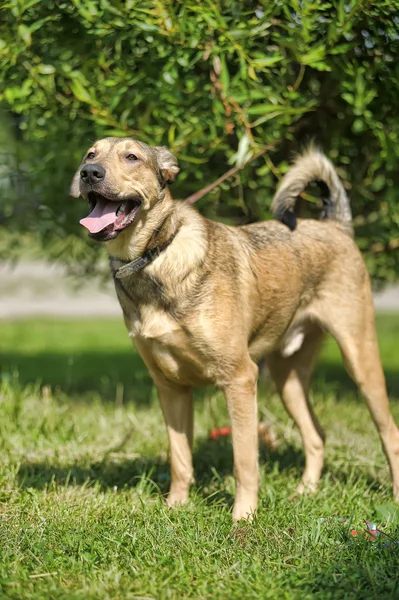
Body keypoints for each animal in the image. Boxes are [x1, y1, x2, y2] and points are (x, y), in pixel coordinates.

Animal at [71, 138, 399, 516]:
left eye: (132, 157)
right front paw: (175, 508)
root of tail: (335, 225)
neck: (155, 255)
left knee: (390, 433)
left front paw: (243, 516)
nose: (89, 173)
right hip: (287, 377)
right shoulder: (170, 387)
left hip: (360, 359)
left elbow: (244, 461)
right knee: (316, 434)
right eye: (90, 154)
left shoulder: (240, 379)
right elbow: (180, 459)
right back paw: (304, 492)